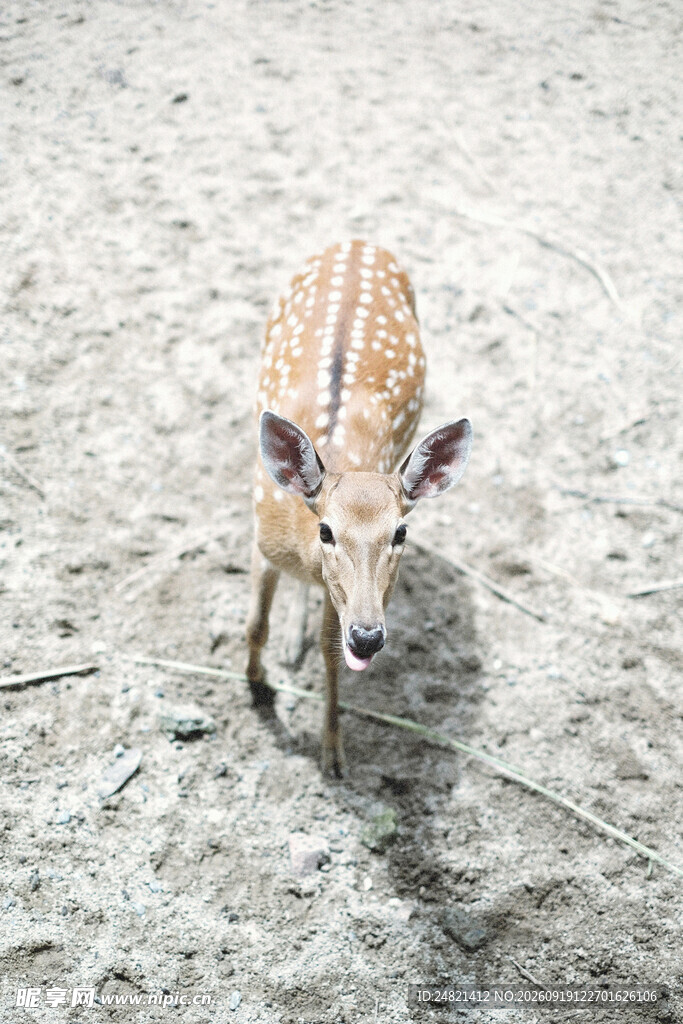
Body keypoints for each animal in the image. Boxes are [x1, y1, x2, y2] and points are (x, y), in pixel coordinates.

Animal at [246, 240, 472, 777]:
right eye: (326, 531)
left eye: (401, 533)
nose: (368, 637)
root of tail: (357, 242)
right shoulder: (260, 539)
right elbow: (255, 625)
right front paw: (257, 687)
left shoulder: (342, 600)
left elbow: (330, 654)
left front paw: (333, 753)